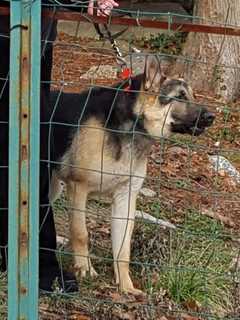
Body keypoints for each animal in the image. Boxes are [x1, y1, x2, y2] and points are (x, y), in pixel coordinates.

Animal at [47, 55, 215, 296]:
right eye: (180, 96)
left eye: (193, 96)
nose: (212, 117)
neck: (133, 124)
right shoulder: (78, 188)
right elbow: (81, 233)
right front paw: (84, 269)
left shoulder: (125, 199)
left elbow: (123, 248)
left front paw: (126, 285)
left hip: (52, 186)